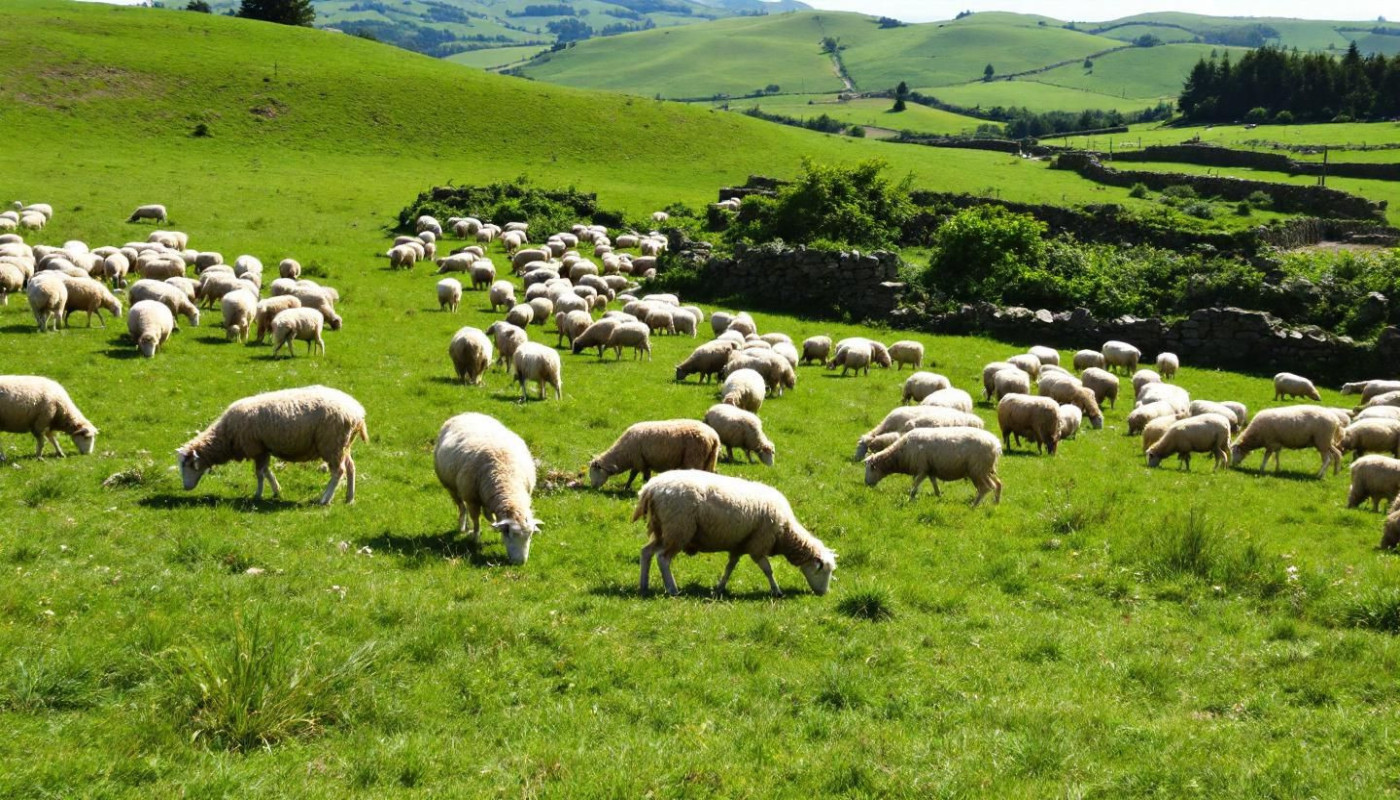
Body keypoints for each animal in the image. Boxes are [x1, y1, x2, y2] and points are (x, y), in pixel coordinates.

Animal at [176, 385, 367, 505]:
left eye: (189, 466)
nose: (185, 488)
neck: (226, 434)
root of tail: (358, 412)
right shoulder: (264, 448)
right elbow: (266, 471)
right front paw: (276, 490)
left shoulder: (256, 447)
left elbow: (260, 474)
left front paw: (258, 495)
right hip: (343, 445)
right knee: (351, 468)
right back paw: (349, 498)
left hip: (332, 443)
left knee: (339, 472)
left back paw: (325, 499)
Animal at [589, 420, 721, 490]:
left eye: (593, 472)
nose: (593, 487)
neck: (622, 455)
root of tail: (714, 437)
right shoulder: (639, 462)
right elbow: (632, 476)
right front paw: (626, 487)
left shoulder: (641, 462)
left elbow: (644, 477)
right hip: (709, 459)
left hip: (695, 457)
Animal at [633, 470, 835, 597]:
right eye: (823, 571)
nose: (824, 593)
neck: (785, 531)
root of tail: (651, 488)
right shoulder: (758, 544)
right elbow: (768, 569)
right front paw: (776, 591)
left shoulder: (739, 545)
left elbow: (730, 567)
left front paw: (719, 588)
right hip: (678, 529)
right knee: (663, 558)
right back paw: (672, 589)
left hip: (662, 529)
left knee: (646, 552)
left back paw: (643, 586)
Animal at [863, 427, 1003, 505]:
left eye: (871, 469)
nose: (866, 484)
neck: (901, 453)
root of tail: (996, 444)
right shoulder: (930, 469)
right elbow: (934, 483)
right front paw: (938, 496)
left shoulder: (922, 468)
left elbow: (915, 484)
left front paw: (910, 497)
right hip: (987, 469)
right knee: (998, 484)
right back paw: (995, 503)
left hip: (978, 469)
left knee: (986, 488)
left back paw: (974, 506)